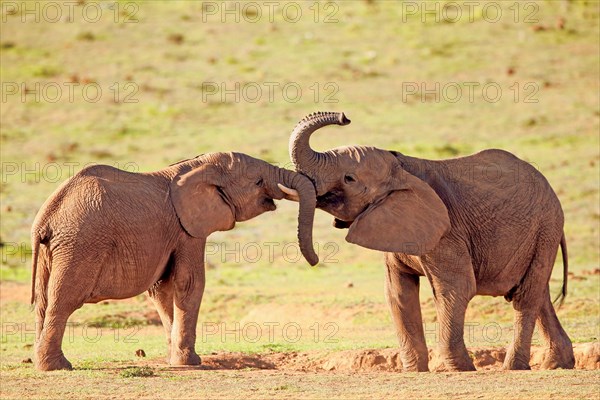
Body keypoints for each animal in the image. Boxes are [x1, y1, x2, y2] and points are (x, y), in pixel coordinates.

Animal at [31, 151, 318, 372]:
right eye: (258, 182)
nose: (313, 261)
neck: (197, 165)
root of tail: (45, 219)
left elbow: (162, 289)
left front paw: (175, 359)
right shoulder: (188, 231)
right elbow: (189, 283)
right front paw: (191, 362)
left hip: (53, 251)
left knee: (43, 302)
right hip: (80, 244)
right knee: (63, 300)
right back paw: (58, 367)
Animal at [286, 111, 576, 372]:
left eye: (349, 178)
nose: (344, 117)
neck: (401, 167)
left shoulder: (447, 232)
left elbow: (456, 289)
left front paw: (461, 370)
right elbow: (398, 293)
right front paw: (415, 371)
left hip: (545, 228)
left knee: (525, 297)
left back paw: (514, 368)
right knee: (539, 295)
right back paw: (556, 365)